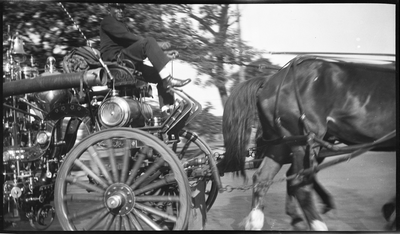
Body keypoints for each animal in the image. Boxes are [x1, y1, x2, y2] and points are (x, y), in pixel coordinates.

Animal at [219, 55, 396, 230]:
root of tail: (270, 80)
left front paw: (390, 213)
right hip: (304, 141)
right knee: (300, 184)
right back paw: (316, 223)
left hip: (282, 143)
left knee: (263, 178)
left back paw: (256, 221)